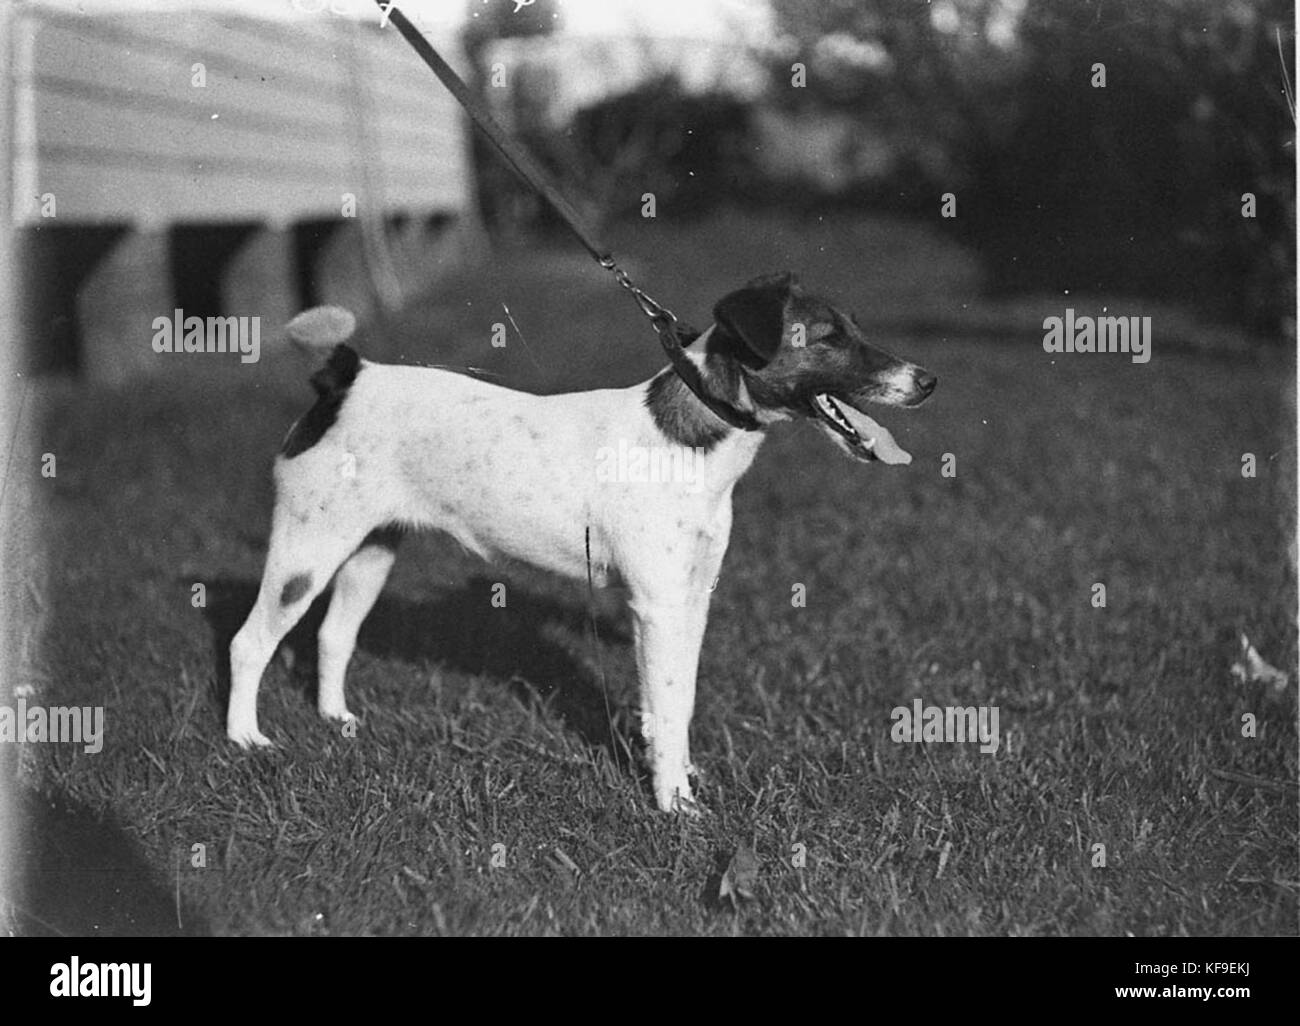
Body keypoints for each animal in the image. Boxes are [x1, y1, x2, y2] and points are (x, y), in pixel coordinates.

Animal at [226, 270, 935, 806]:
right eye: (829, 338)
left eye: (856, 328)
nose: (928, 381)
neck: (691, 440)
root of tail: (345, 379)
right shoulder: (657, 605)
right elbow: (669, 700)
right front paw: (676, 803)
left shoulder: (689, 600)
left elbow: (675, 699)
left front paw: (673, 770)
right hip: (306, 551)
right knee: (249, 643)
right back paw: (245, 742)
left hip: (369, 551)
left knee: (332, 635)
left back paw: (335, 720)